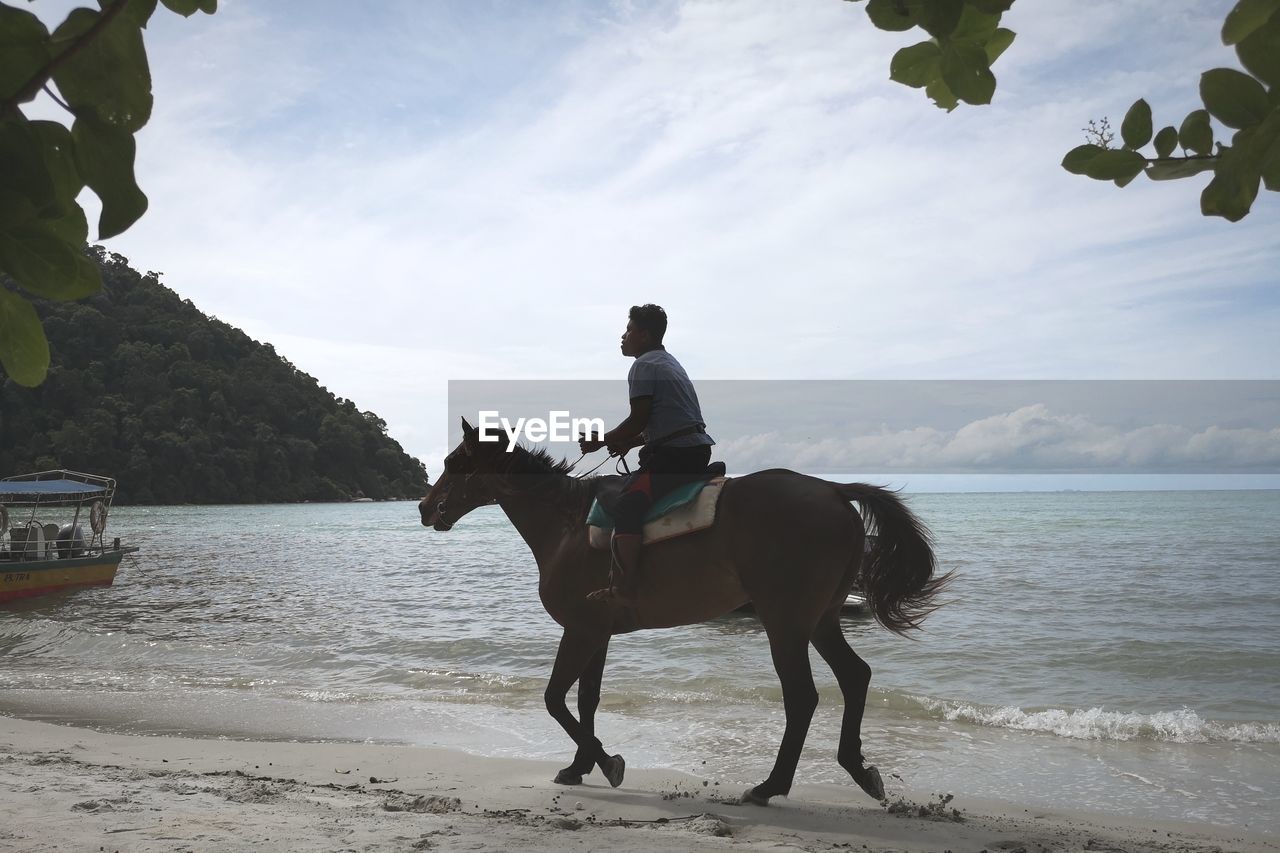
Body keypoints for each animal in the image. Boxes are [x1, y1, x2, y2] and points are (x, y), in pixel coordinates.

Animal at [422, 417, 952, 804]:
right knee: (855, 676)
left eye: (453, 461)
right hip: (819, 620)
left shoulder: (580, 630)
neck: (567, 526)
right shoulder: (596, 631)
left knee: (802, 697)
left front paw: (607, 763)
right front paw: (579, 766)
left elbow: (555, 698)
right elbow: (586, 699)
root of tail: (833, 491)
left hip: (785, 622)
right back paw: (858, 770)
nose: (426, 507)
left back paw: (771, 785)